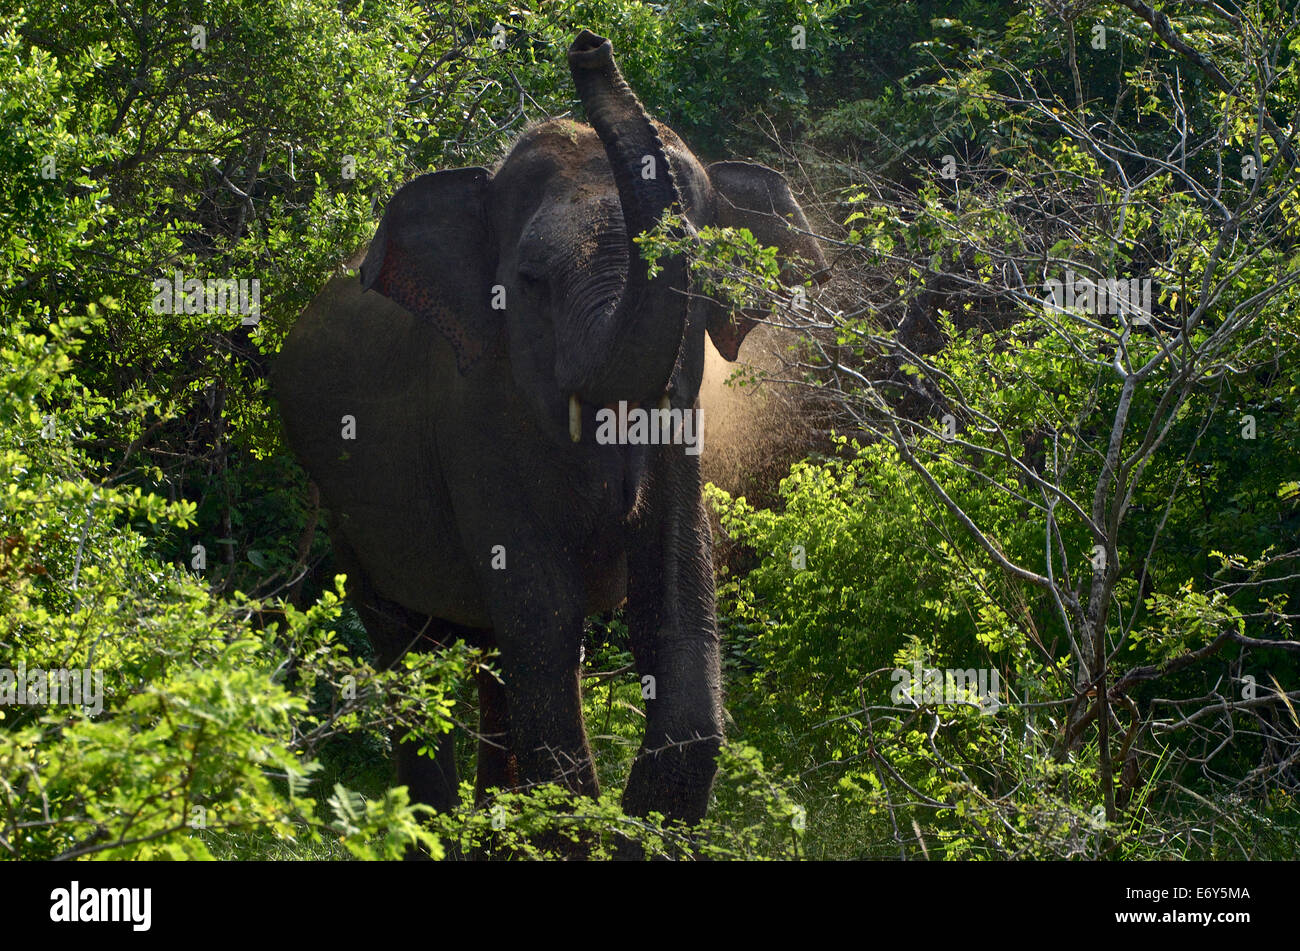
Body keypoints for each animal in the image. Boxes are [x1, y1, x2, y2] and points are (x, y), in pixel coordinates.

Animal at [275, 31, 826, 847]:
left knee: (485, 657)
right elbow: (545, 617)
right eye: (531, 281)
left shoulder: (681, 435)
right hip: (340, 500)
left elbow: (672, 614)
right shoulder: (472, 421)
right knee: (410, 650)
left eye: (699, 279)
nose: (590, 46)